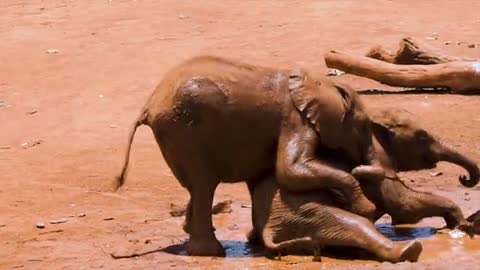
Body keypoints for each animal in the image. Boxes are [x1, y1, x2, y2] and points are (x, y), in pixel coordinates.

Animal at [114, 55, 384, 255]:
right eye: (364, 127)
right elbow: (291, 170)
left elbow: (262, 177)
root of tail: (149, 104)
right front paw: (365, 208)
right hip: (184, 130)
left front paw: (254, 240)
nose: (359, 166)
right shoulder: (294, 120)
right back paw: (212, 253)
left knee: (196, 187)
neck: (319, 82)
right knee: (204, 185)